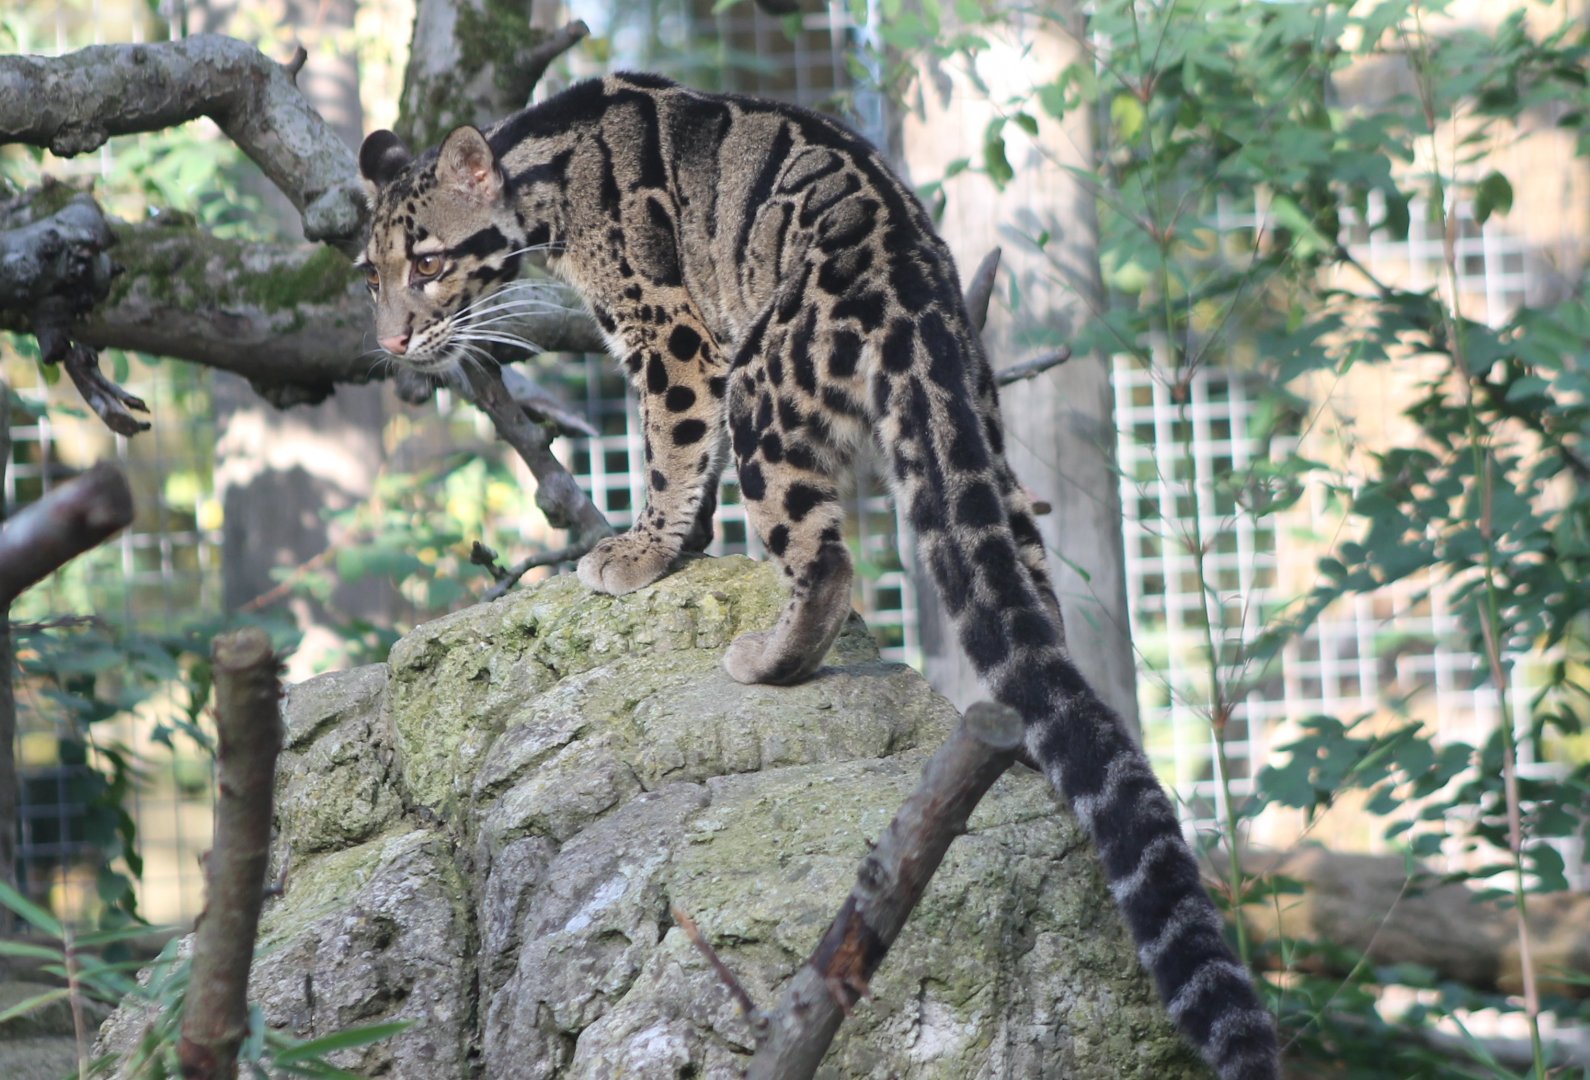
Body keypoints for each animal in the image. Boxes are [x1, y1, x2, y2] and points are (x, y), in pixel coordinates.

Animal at [356, 72, 1279, 1080]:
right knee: (1025, 590)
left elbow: (671, 446)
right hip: (975, 432)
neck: (543, 178)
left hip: (764, 385)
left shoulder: (673, 334)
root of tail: (914, 283)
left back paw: (767, 660)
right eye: (371, 276)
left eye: (429, 263)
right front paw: (682, 544)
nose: (394, 344)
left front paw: (642, 550)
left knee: (828, 564)